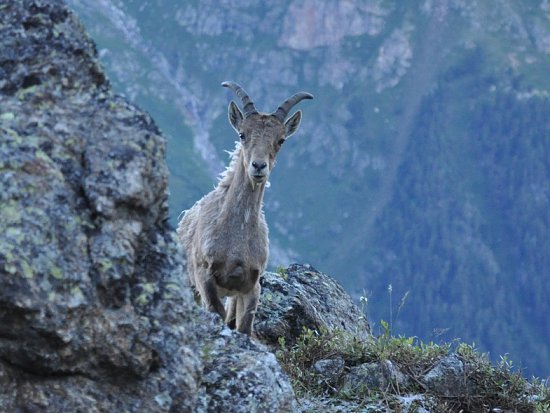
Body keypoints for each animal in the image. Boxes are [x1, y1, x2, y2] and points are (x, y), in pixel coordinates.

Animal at [179, 81, 312, 334]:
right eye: (242, 134)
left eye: (281, 140)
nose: (258, 166)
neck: (235, 240)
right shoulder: (204, 276)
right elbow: (216, 313)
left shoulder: (251, 286)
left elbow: (243, 328)